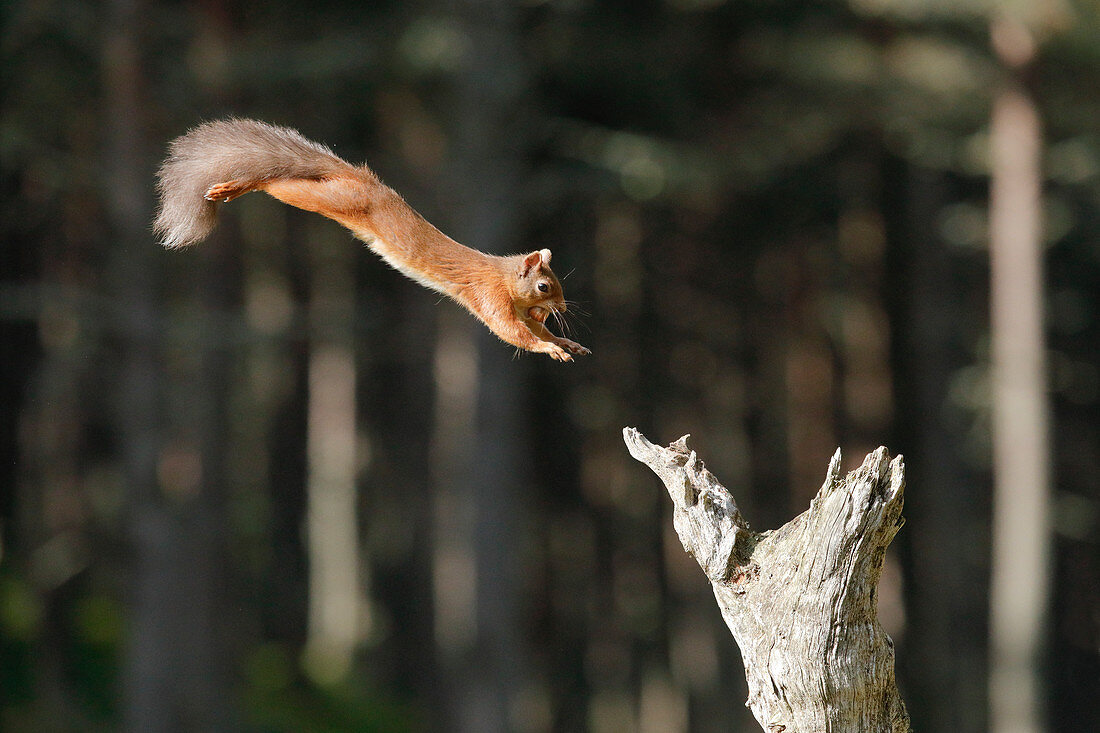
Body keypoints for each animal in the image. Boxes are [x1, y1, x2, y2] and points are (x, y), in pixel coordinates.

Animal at [152, 118, 594, 360]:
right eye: (544, 285)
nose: (561, 307)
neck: (504, 277)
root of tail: (365, 180)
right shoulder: (491, 297)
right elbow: (512, 333)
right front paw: (551, 348)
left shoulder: (518, 309)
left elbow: (532, 329)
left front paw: (565, 343)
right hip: (334, 200)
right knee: (280, 183)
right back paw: (233, 187)